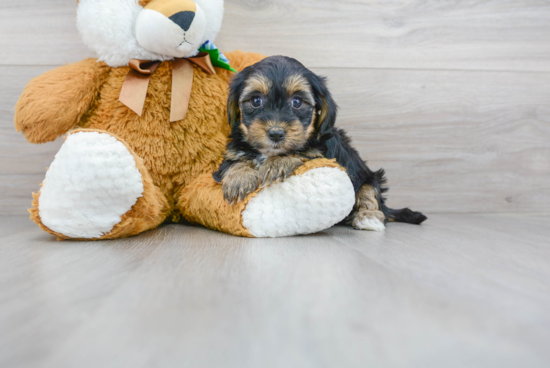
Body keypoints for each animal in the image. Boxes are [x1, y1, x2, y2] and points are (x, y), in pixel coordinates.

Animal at [213, 55, 430, 230]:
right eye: (256, 101)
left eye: (297, 102)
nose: (275, 133)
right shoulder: (231, 153)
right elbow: (233, 162)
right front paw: (239, 178)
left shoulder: (322, 153)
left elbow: (304, 151)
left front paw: (277, 163)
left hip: (369, 177)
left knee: (371, 196)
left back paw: (368, 218)